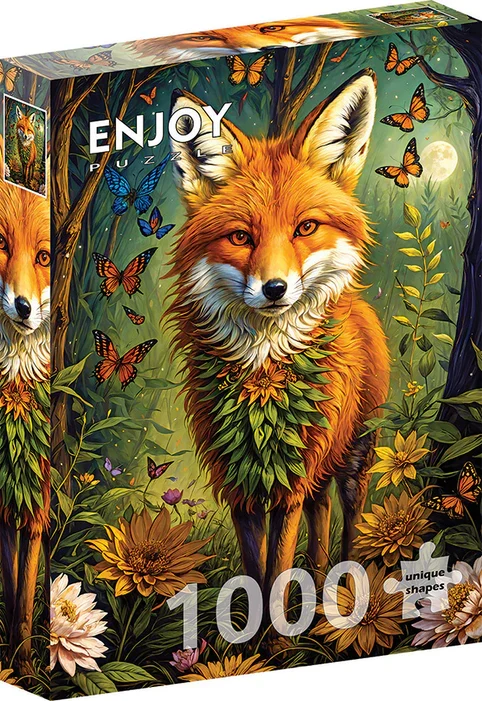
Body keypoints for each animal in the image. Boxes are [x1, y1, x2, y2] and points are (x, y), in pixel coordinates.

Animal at [168, 69, 390, 605]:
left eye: (305, 227)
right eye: (240, 237)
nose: (274, 289)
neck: (264, 383)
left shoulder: (290, 479)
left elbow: (276, 577)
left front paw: (277, 628)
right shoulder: (241, 482)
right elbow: (256, 573)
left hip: (353, 457)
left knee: (348, 519)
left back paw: (346, 589)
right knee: (321, 516)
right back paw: (320, 587)